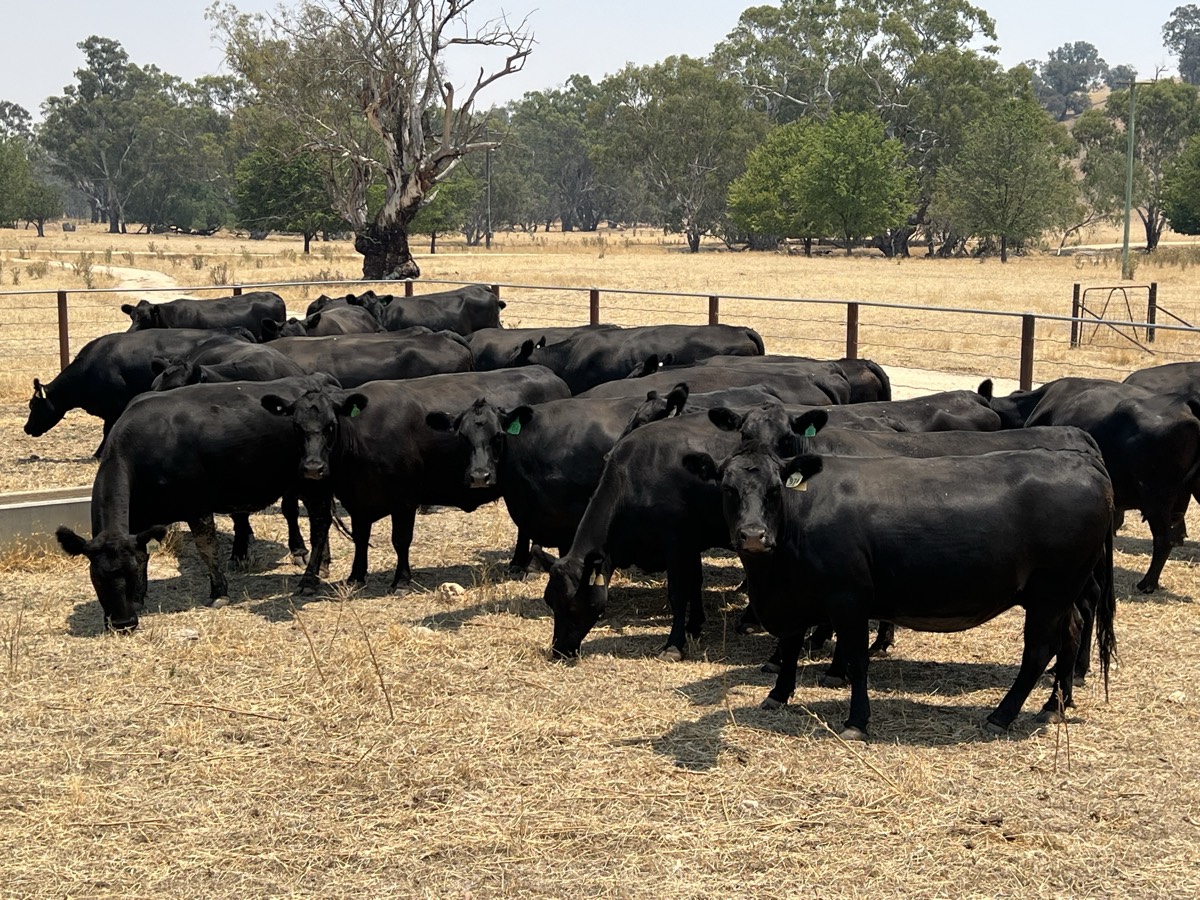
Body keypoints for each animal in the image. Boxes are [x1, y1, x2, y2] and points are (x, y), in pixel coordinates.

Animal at [54, 375, 354, 630]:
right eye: (97, 577)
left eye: (129, 573)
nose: (123, 623)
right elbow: (145, 550)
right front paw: (141, 594)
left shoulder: (196, 505)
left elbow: (207, 549)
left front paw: (219, 592)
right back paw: (323, 565)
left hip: (313, 480)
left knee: (320, 522)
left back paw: (310, 579)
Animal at [269, 367, 570, 592]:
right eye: (296, 426)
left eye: (331, 425)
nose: (313, 467)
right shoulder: (358, 501)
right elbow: (360, 538)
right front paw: (356, 576)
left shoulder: (404, 498)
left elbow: (400, 539)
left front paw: (401, 580)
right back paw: (518, 562)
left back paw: (528, 564)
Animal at [680, 442, 1115, 741]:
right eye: (728, 488)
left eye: (774, 489)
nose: (754, 536)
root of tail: (1081, 460)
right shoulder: (795, 598)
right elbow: (789, 647)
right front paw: (778, 694)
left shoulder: (848, 600)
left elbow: (855, 659)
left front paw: (857, 721)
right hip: (1064, 593)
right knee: (1072, 634)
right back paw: (1054, 706)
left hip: (1051, 591)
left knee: (1040, 650)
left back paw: (1001, 716)